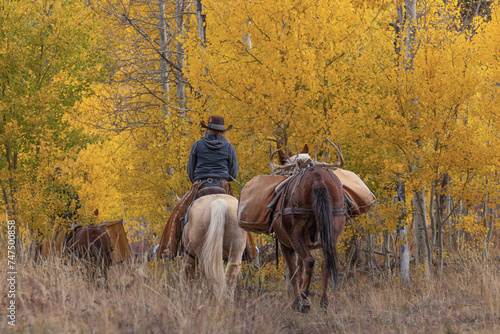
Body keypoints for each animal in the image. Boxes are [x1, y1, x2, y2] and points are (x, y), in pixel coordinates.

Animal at [268, 139, 346, 314]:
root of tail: (318, 179)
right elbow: (300, 268)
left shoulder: (285, 244)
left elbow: (294, 272)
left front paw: (297, 301)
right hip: (334, 227)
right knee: (326, 262)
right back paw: (324, 302)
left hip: (294, 233)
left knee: (310, 261)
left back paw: (304, 298)